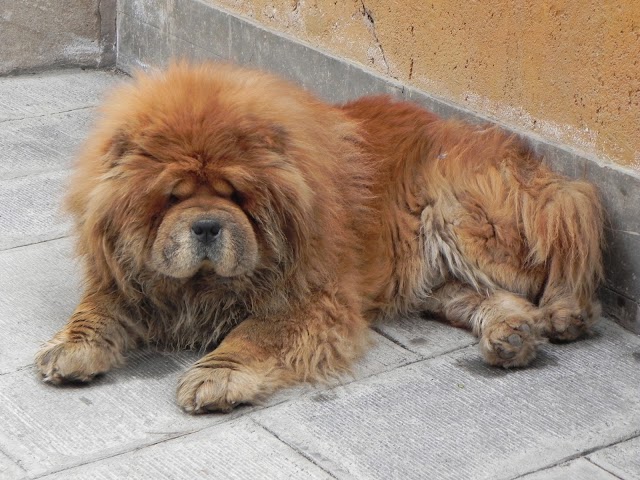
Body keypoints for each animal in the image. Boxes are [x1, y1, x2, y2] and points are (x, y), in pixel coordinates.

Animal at [36, 62, 604, 412]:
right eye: (172, 197)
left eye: (236, 194)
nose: (207, 224)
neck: (201, 288)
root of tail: (526, 158)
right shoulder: (126, 276)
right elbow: (95, 309)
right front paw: (69, 349)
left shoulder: (308, 300)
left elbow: (253, 335)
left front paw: (214, 377)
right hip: (433, 279)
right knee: (500, 298)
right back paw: (512, 338)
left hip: (465, 218)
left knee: (566, 243)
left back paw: (564, 314)